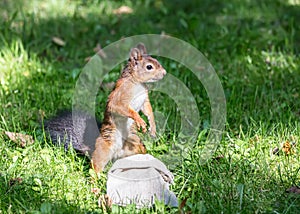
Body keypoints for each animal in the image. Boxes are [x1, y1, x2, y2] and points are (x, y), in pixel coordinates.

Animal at [91, 43, 166, 172]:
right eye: (149, 67)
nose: (164, 72)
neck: (137, 83)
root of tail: (117, 153)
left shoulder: (144, 99)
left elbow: (148, 110)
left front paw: (152, 126)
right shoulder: (120, 96)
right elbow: (120, 107)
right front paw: (139, 120)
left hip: (135, 143)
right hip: (104, 147)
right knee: (96, 164)